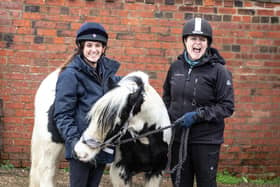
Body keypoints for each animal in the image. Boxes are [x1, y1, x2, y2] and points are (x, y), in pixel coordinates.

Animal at [29, 69, 172, 186]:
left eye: (119, 119)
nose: (80, 151)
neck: (147, 141)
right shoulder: (120, 172)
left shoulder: (156, 172)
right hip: (50, 147)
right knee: (45, 173)